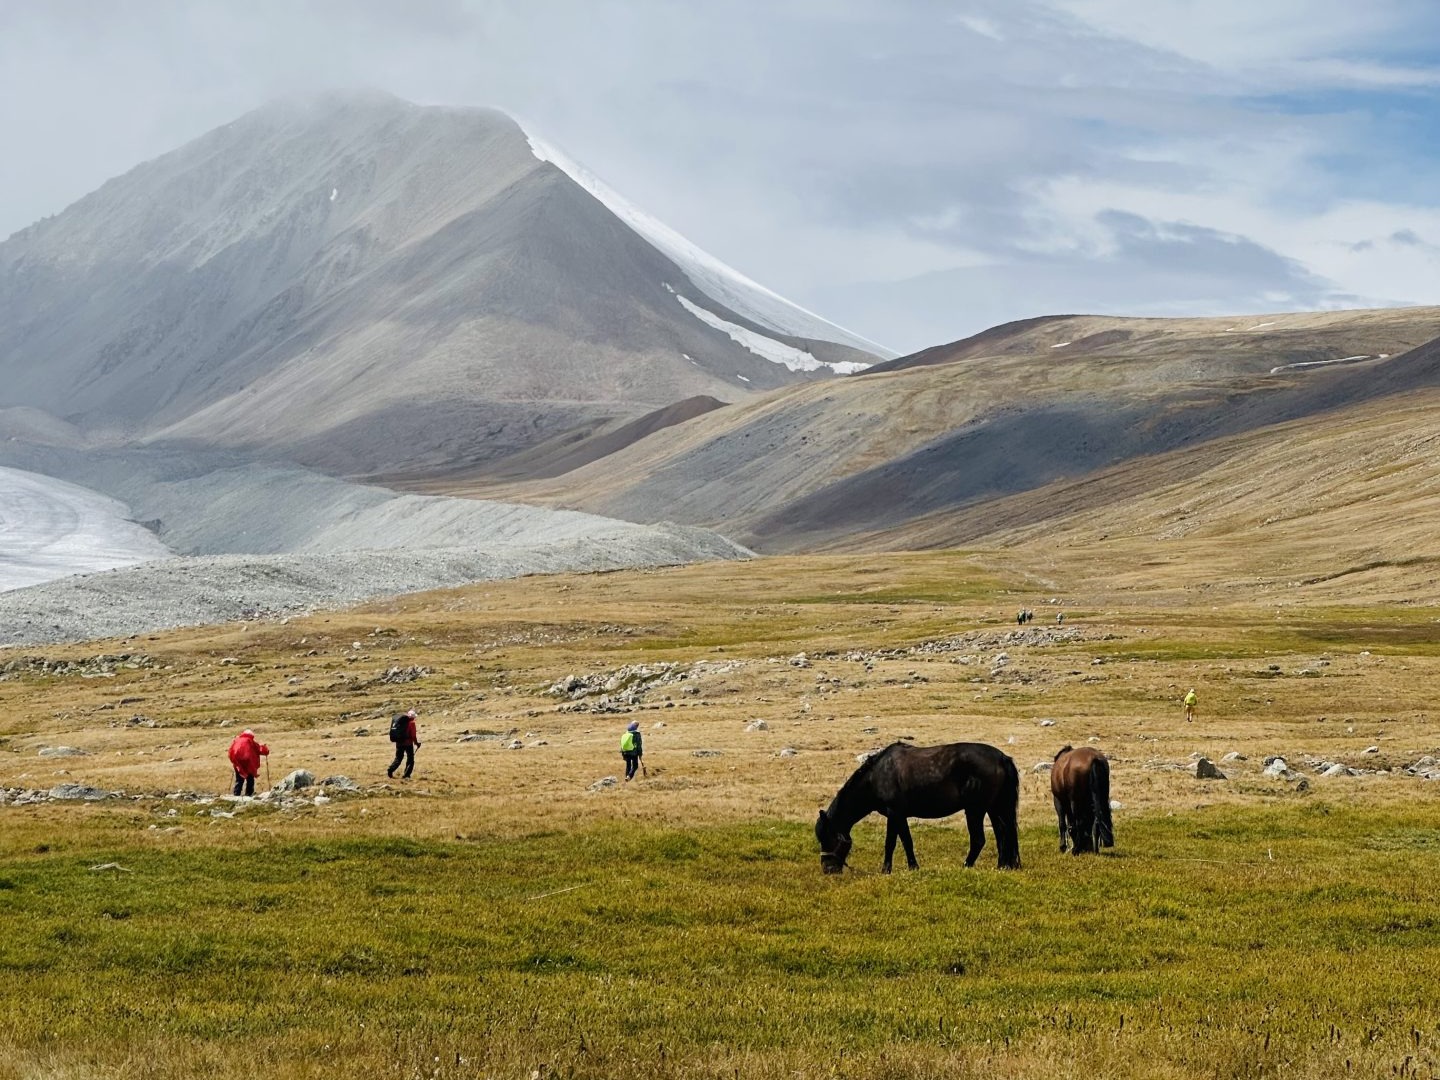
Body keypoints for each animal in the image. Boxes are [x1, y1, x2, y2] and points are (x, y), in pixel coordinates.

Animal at [814, 741, 1021, 873]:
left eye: (827, 837)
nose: (827, 869)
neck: (876, 776)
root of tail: (1002, 758)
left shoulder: (895, 813)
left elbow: (898, 842)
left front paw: (896, 868)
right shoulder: (896, 815)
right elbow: (899, 841)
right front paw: (900, 868)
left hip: (975, 810)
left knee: (979, 839)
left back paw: (966, 865)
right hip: (994, 808)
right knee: (1002, 834)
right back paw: (1002, 866)